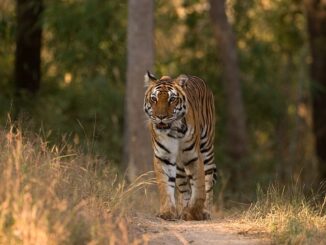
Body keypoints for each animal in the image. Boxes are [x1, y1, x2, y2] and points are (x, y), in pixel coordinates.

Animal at [145, 71, 216, 220]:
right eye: (154, 99)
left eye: (172, 99)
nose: (161, 117)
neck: (173, 130)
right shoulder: (164, 156)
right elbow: (165, 185)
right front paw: (167, 212)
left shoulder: (193, 155)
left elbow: (199, 185)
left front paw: (195, 212)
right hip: (179, 166)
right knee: (184, 187)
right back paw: (183, 210)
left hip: (207, 148)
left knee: (208, 180)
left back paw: (205, 211)